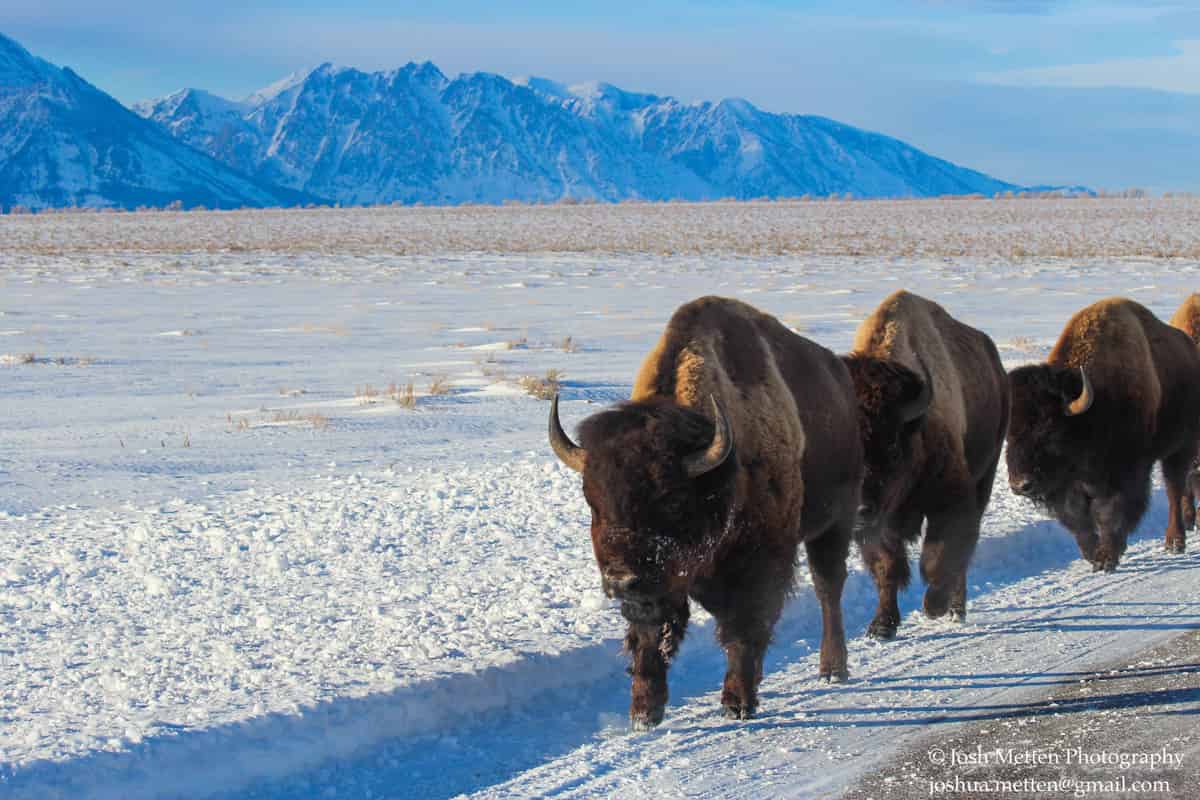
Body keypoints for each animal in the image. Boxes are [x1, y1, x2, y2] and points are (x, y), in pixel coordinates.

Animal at [549, 296, 863, 728]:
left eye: (672, 499)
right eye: (592, 501)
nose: (619, 580)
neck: (718, 475)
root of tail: (840, 377)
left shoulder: (756, 568)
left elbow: (743, 628)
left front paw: (737, 702)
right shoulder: (659, 583)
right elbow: (650, 633)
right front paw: (644, 712)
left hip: (834, 523)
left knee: (828, 588)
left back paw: (833, 669)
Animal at [842, 291, 1009, 639]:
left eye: (892, 446)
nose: (860, 509)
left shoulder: (951, 501)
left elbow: (939, 556)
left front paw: (934, 607)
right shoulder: (877, 526)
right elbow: (887, 567)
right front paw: (881, 626)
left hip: (984, 478)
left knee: (962, 557)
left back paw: (956, 610)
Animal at [1007, 297, 1200, 570]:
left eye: (1048, 427)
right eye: (1008, 433)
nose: (1021, 485)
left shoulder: (1125, 474)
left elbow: (1112, 514)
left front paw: (1108, 557)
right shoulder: (1069, 486)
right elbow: (1079, 520)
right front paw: (1093, 556)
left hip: (1181, 447)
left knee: (1175, 489)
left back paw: (1175, 542)